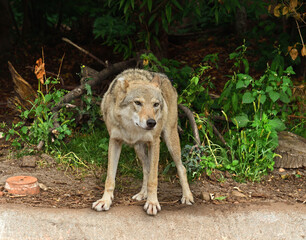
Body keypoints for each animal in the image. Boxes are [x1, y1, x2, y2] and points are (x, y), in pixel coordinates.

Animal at [92, 68, 195, 216]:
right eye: (138, 103)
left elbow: (153, 179)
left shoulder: (155, 142)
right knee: (146, 168)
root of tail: (163, 76)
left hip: (170, 140)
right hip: (138, 147)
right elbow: (110, 178)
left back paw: (187, 196)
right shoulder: (115, 141)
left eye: (155, 104)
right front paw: (105, 201)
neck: (131, 128)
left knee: (182, 168)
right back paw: (142, 194)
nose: (152, 122)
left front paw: (152, 203)